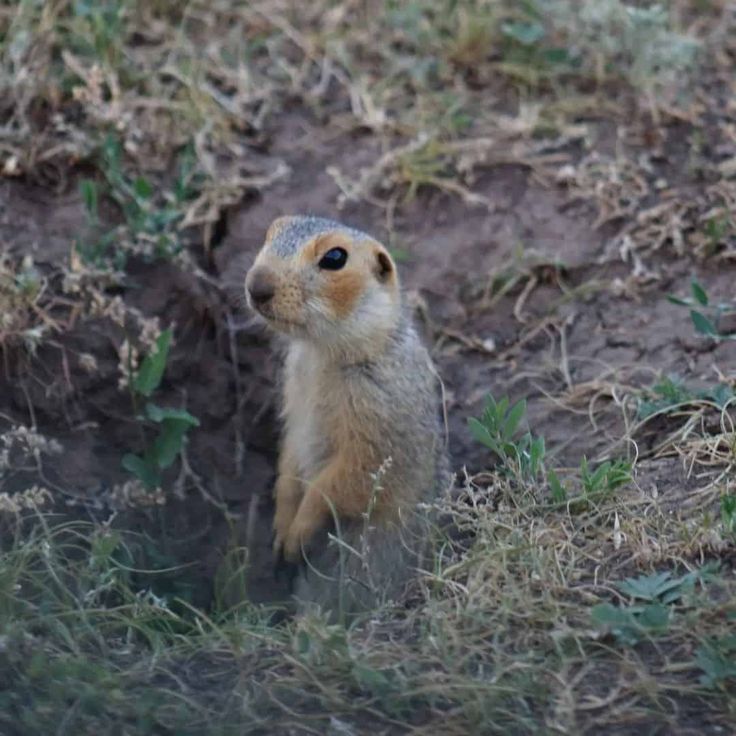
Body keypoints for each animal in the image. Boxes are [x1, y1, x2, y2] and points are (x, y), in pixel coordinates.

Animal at [244, 214, 448, 616]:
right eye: (272, 231)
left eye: (335, 258)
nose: (257, 285)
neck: (321, 353)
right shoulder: (295, 397)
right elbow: (290, 461)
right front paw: (281, 525)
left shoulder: (377, 413)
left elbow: (347, 478)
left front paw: (297, 532)